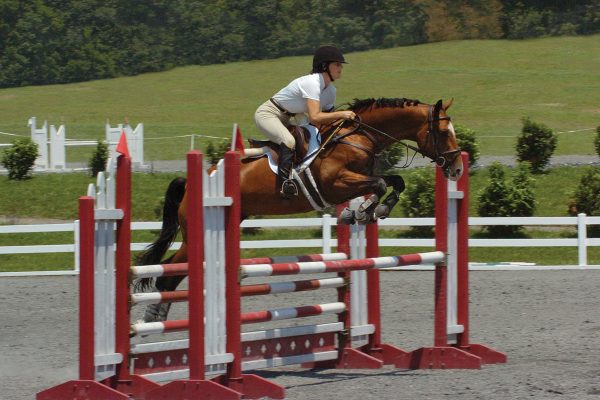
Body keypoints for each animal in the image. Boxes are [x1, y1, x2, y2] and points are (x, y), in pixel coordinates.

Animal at [137, 97, 464, 322]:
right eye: (443, 132)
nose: (458, 168)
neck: (358, 137)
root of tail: (196, 181)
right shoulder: (336, 184)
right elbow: (382, 183)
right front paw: (361, 211)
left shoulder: (357, 179)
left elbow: (394, 182)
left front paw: (372, 211)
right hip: (199, 233)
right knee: (167, 273)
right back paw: (154, 317)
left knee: (172, 272)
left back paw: (158, 316)